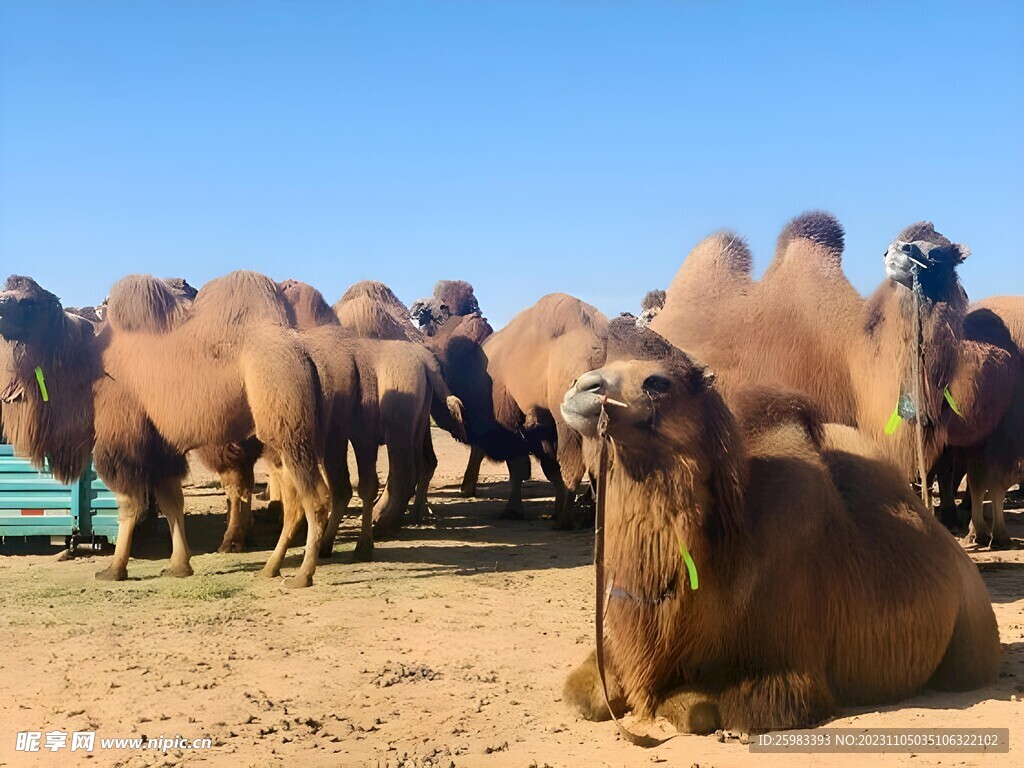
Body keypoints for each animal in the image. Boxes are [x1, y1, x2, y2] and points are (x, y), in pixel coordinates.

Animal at [0, 274, 327, 585]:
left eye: (28, 302)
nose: (1, 309)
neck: (87, 364)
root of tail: (305, 354)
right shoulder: (160, 447)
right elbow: (172, 502)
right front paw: (180, 566)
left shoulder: (123, 439)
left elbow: (130, 504)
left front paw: (114, 569)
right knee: (298, 497)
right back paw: (272, 566)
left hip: (287, 426)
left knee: (312, 498)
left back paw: (301, 574)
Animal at [561, 317, 999, 733]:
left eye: (657, 382)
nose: (580, 388)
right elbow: (582, 694)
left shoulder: (790, 672)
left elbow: (697, 709)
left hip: (971, 640)